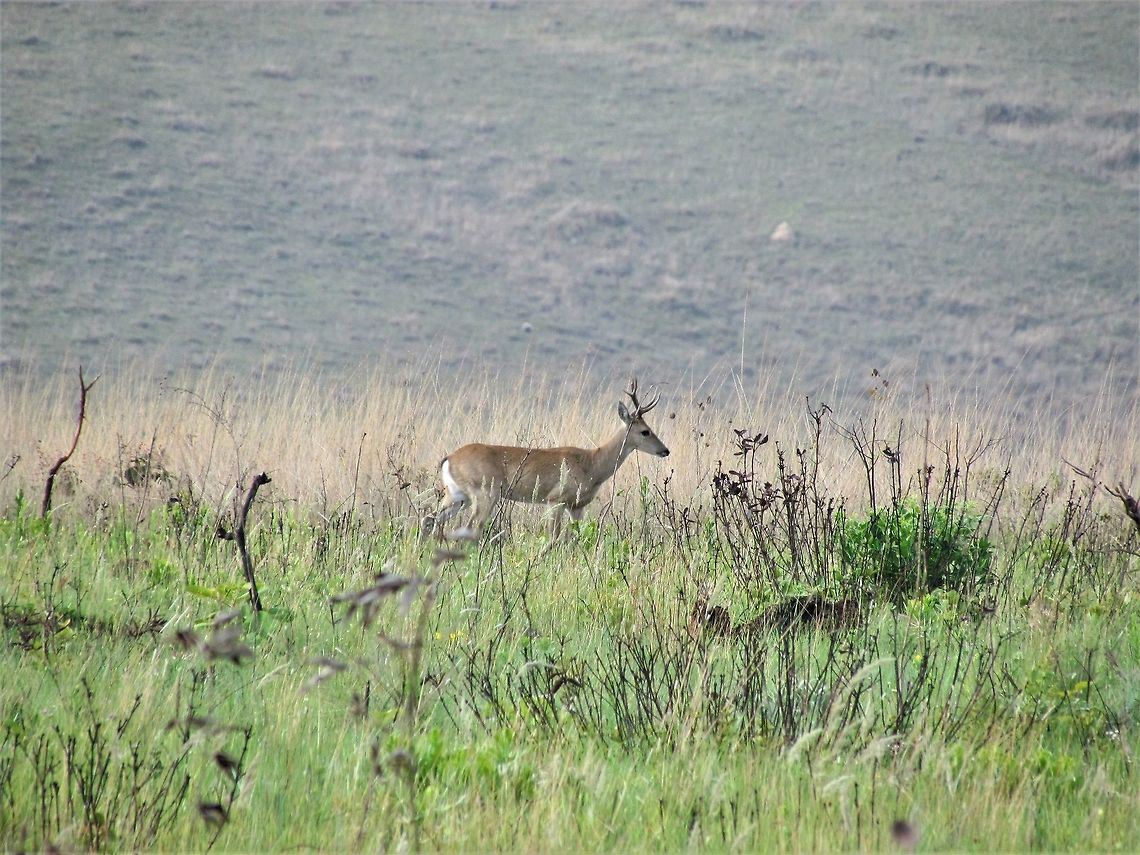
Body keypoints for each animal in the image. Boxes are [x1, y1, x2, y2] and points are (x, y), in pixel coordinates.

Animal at [427, 379, 670, 547]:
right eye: (645, 431)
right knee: (470, 527)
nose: (665, 450)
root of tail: (449, 458)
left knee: (430, 519)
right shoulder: (555, 500)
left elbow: (573, 537)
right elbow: (554, 538)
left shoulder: (576, 506)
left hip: (458, 495)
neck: (592, 464)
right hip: (485, 492)